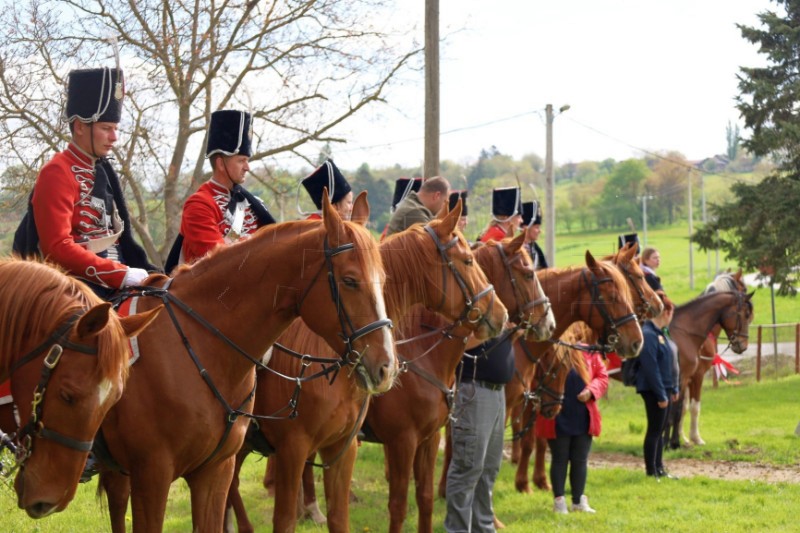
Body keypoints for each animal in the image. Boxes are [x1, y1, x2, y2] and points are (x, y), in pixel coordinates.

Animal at [364, 235, 556, 532]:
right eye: (528, 274)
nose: (550, 324)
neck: (423, 349)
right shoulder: (401, 442)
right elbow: (398, 506)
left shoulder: (428, 439)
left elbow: (425, 498)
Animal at [512, 241, 664, 490]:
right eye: (640, 276)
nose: (659, 305)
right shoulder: (533, 395)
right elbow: (528, 440)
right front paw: (524, 482)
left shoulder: (545, 396)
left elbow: (542, 439)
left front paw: (540, 480)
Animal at [664, 270, 752, 448]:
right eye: (746, 314)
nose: (743, 345)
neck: (686, 331)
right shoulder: (693, 376)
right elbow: (688, 408)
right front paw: (690, 439)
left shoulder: (687, 379)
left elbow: (682, 408)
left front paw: (683, 439)